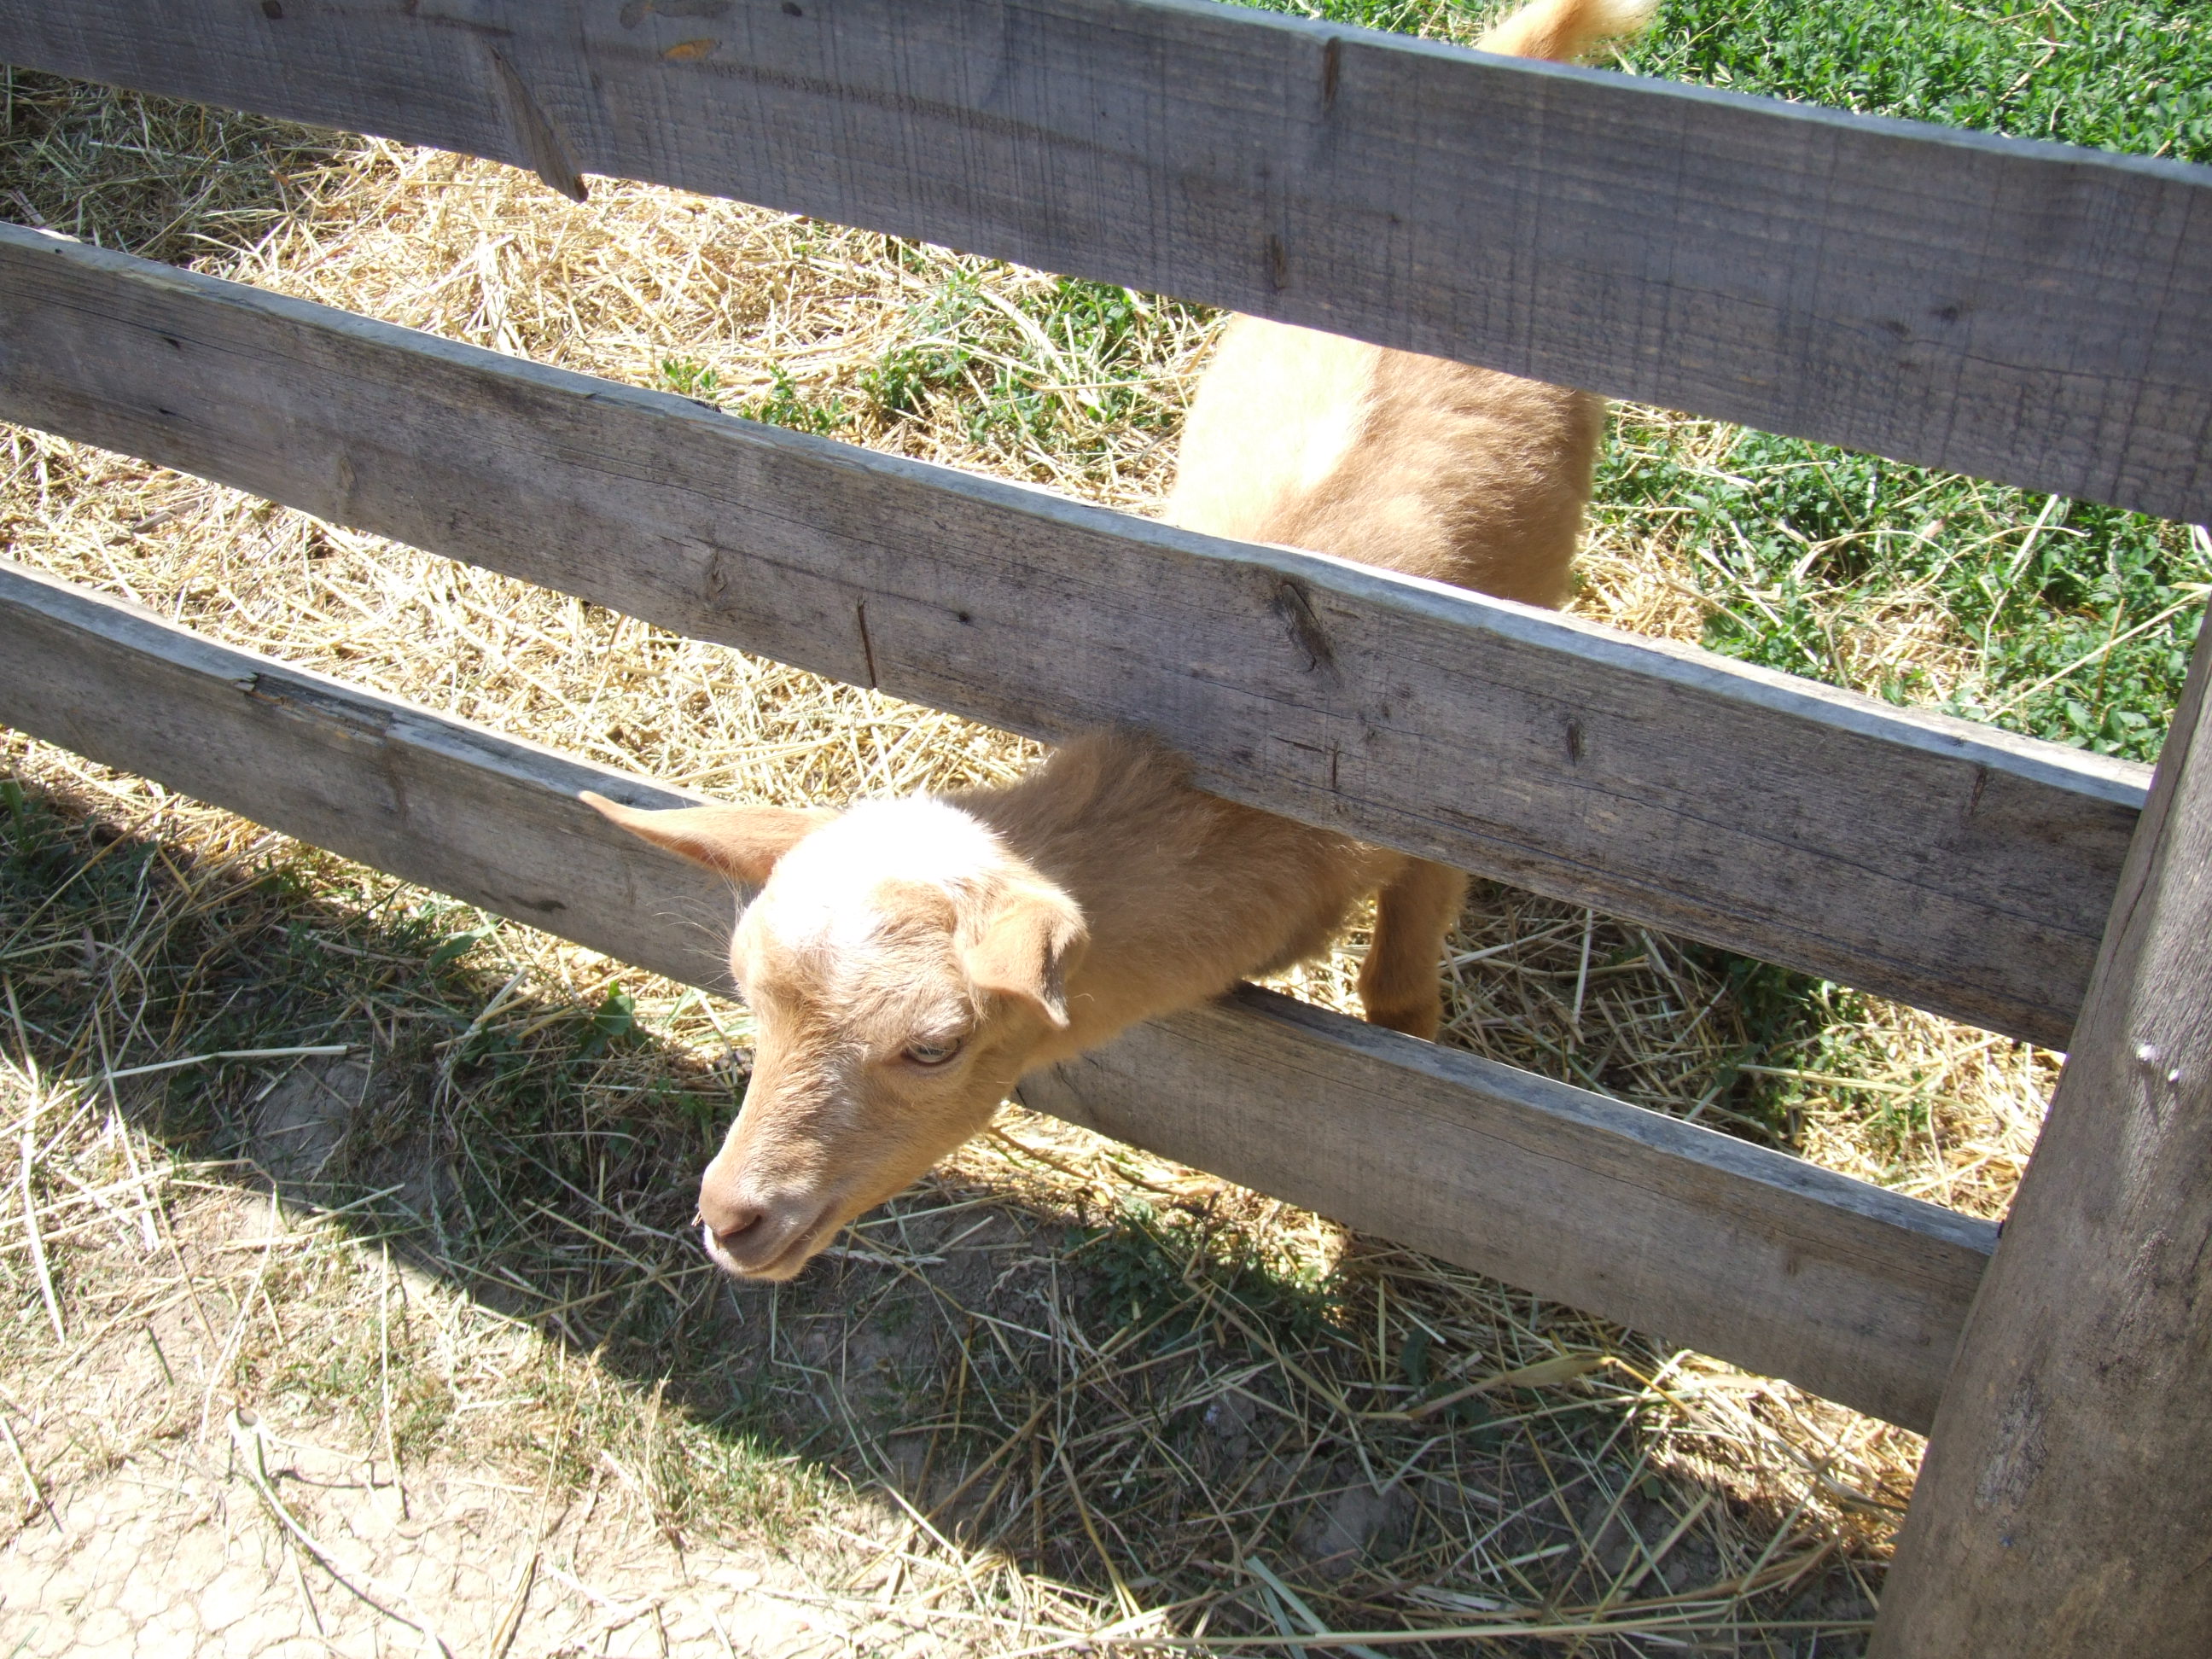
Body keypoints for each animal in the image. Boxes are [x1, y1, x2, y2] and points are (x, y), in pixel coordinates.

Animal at [587, 0, 1651, 1280]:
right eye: (746, 992)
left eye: (936, 1045)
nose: (735, 1218)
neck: (1231, 784)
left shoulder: (1433, 831)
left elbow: (1400, 1005)